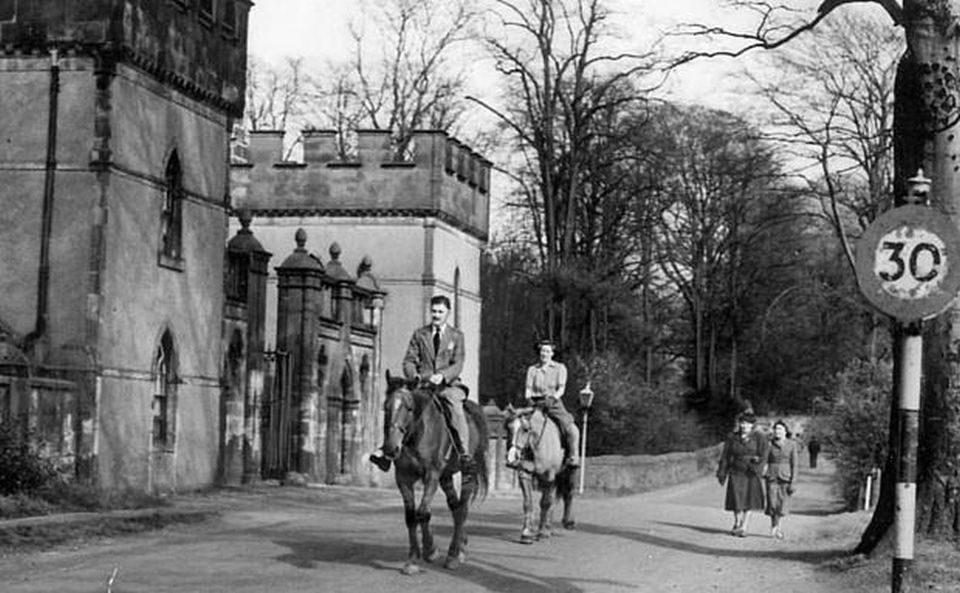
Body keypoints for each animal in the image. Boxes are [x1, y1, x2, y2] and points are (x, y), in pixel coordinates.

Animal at [380, 372, 488, 572]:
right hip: (446, 476)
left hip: (467, 472)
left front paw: (429, 551)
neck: (417, 433)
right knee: (455, 508)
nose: (391, 448)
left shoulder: (431, 475)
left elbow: (423, 512)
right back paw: (460, 547)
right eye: (386, 407)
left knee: (462, 509)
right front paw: (413, 559)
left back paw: (454, 555)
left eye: (409, 408)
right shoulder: (403, 478)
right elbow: (411, 516)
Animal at [506, 404, 572, 544]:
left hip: (564, 474)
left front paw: (541, 533)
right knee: (553, 500)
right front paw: (526, 534)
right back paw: (548, 528)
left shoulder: (549, 477)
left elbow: (545, 503)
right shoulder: (524, 474)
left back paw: (562, 524)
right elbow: (528, 503)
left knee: (565, 495)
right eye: (508, 428)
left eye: (525, 429)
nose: (512, 458)